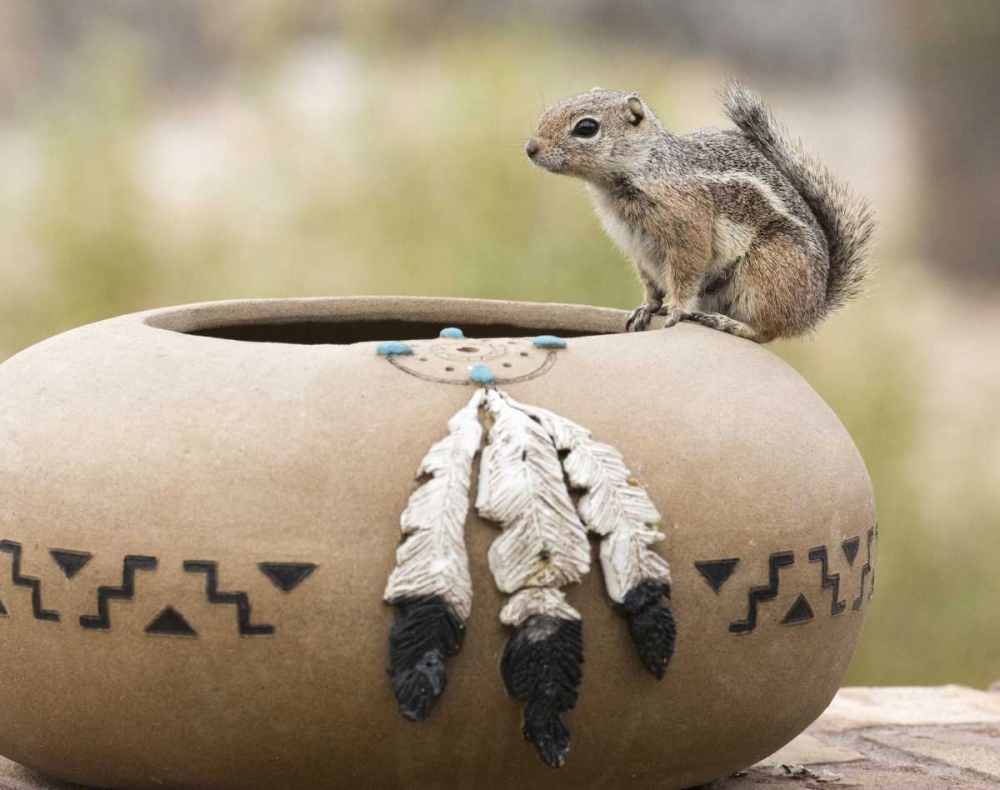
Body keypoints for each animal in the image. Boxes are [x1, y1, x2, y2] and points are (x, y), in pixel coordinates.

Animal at [528, 83, 872, 344]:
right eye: (549, 111)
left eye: (586, 128)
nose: (530, 148)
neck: (645, 168)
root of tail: (813, 310)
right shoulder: (638, 248)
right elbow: (650, 285)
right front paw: (646, 308)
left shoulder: (688, 230)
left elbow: (685, 274)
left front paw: (677, 311)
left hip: (768, 271)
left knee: (766, 332)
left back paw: (726, 323)